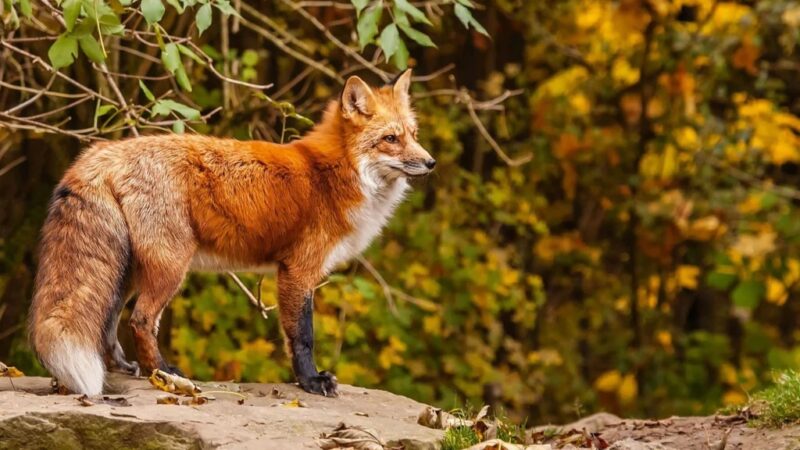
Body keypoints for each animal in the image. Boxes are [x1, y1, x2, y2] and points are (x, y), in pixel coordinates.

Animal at [28, 69, 434, 397]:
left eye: (414, 134)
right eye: (391, 139)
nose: (430, 162)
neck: (336, 173)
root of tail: (102, 152)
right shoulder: (298, 271)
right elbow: (302, 336)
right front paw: (311, 381)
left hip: (127, 269)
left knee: (109, 323)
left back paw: (128, 369)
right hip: (170, 265)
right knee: (140, 320)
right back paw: (164, 373)